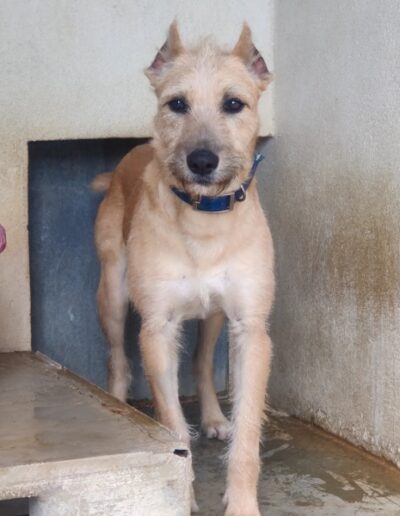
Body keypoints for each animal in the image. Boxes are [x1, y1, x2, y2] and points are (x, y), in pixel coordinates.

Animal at [92, 22, 274, 516]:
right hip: (112, 296)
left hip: (213, 317)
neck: (203, 218)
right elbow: (173, 426)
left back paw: (212, 416)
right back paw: (117, 406)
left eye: (234, 104)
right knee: (117, 362)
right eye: (177, 104)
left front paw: (242, 503)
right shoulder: (157, 329)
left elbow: (247, 433)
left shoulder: (251, 330)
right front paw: (182, 493)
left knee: (202, 363)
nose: (202, 161)